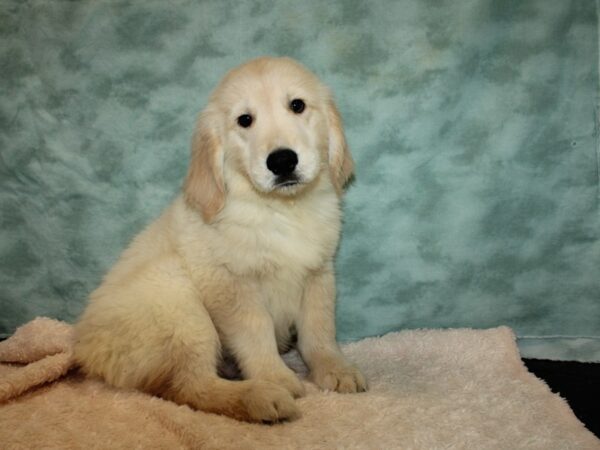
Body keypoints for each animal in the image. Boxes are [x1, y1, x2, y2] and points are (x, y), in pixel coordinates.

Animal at [73, 57, 368, 422]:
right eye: (245, 120)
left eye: (297, 105)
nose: (282, 160)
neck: (281, 210)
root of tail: (85, 349)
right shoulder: (231, 283)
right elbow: (256, 333)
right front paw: (275, 376)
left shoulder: (318, 274)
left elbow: (319, 329)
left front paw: (334, 368)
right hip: (180, 305)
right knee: (190, 387)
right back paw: (260, 397)